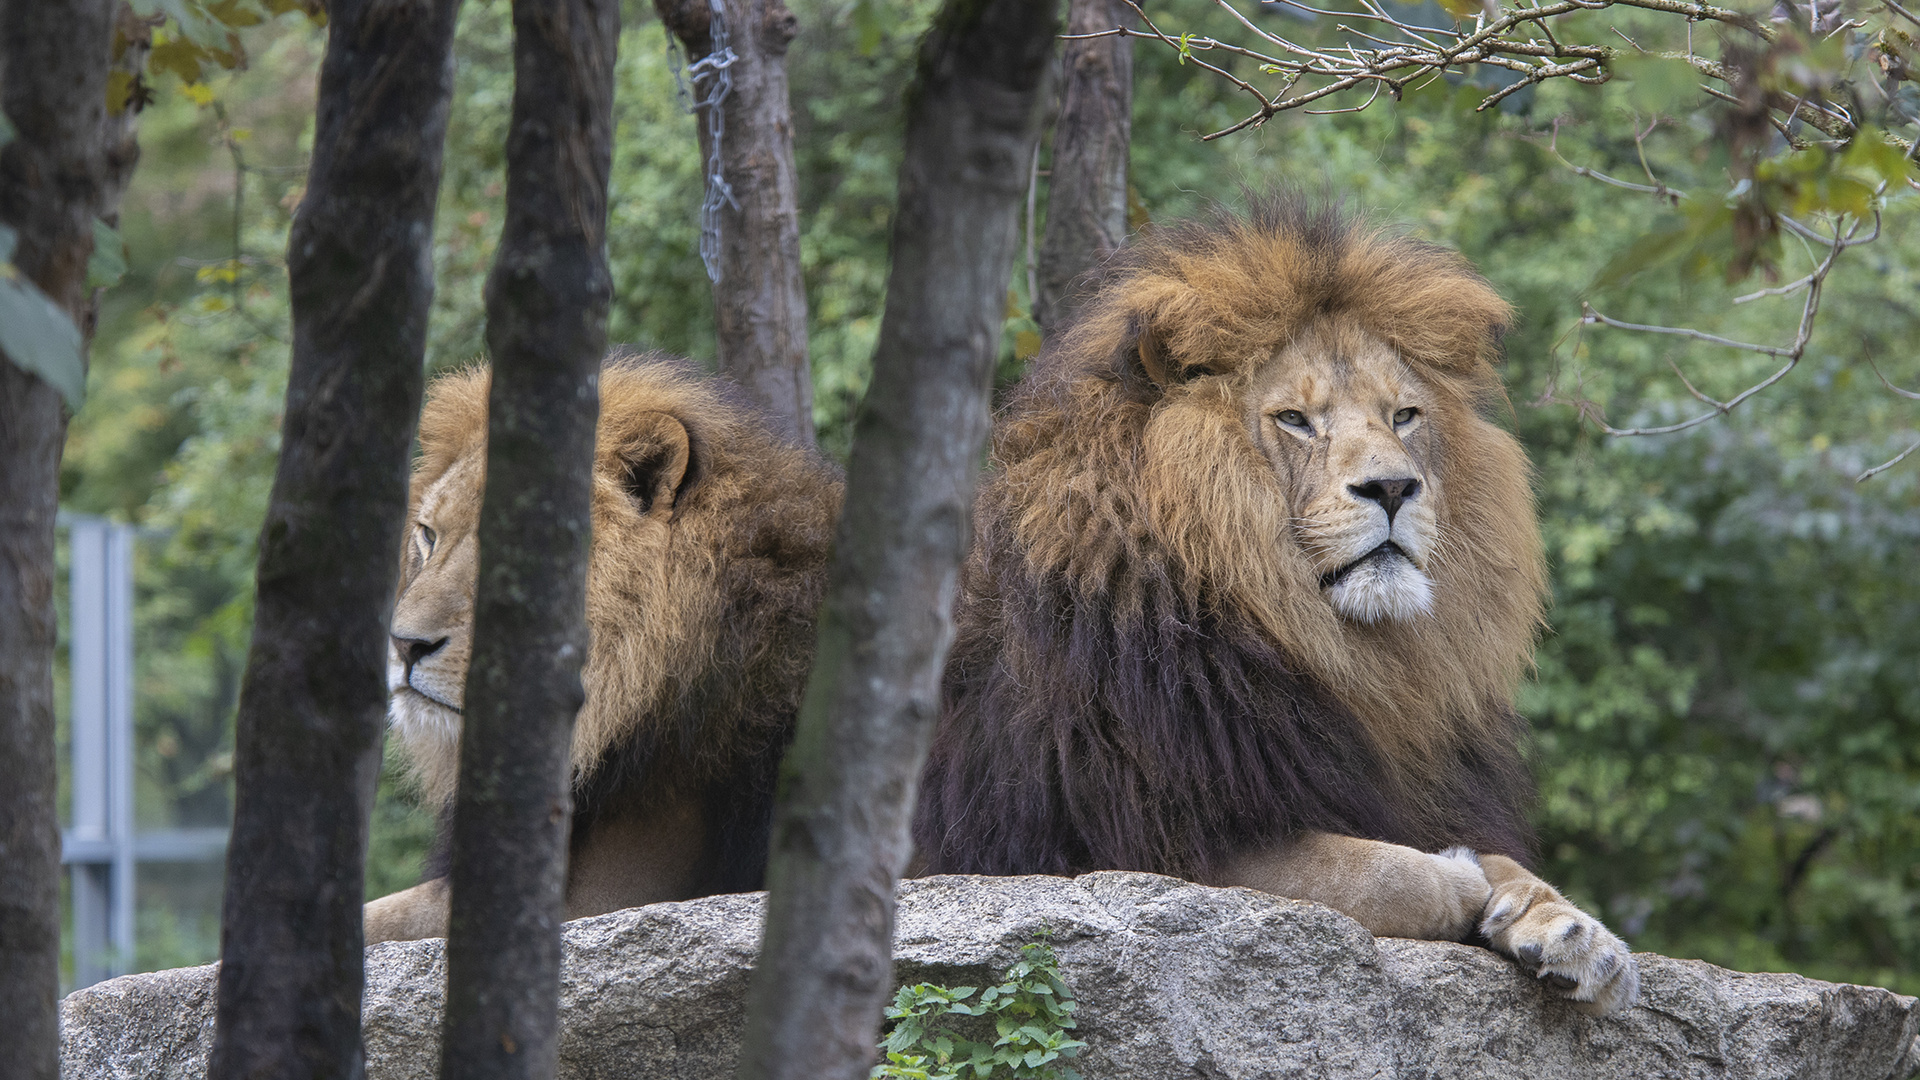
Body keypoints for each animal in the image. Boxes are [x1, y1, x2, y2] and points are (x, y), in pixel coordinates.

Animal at [921, 197, 1643, 1014]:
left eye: (1404, 416)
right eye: (1295, 419)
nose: (1394, 487)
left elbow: (1500, 861)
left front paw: (1572, 929)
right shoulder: (1149, 847)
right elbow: (1385, 870)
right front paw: (1461, 878)